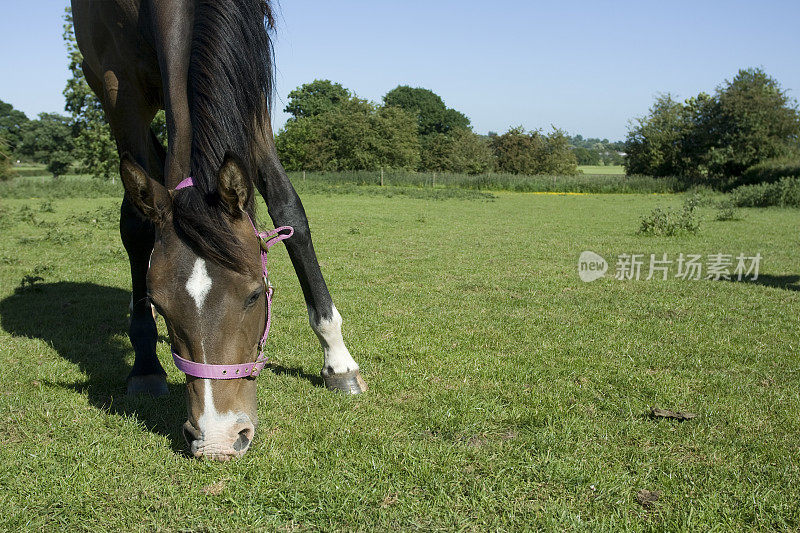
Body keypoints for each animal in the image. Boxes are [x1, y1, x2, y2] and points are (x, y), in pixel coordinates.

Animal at [70, 0, 368, 462]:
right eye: (159, 304)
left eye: (255, 295)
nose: (217, 440)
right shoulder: (118, 86)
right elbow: (137, 221)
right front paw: (145, 364)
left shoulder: (251, 80)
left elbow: (288, 208)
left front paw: (338, 361)